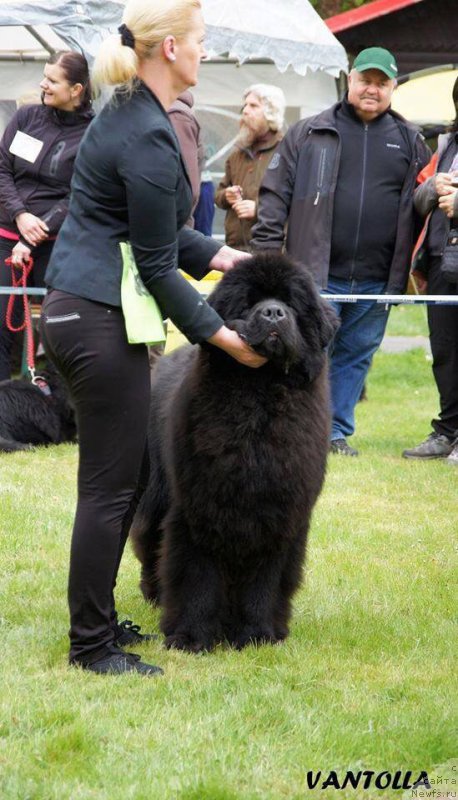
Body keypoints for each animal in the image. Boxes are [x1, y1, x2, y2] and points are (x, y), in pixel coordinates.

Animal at [131, 253, 338, 652]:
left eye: (290, 302)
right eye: (248, 303)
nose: (273, 313)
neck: (260, 396)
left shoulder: (279, 512)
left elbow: (265, 581)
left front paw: (257, 634)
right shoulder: (197, 507)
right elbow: (196, 575)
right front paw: (191, 636)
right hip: (158, 490)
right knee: (151, 541)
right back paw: (155, 594)